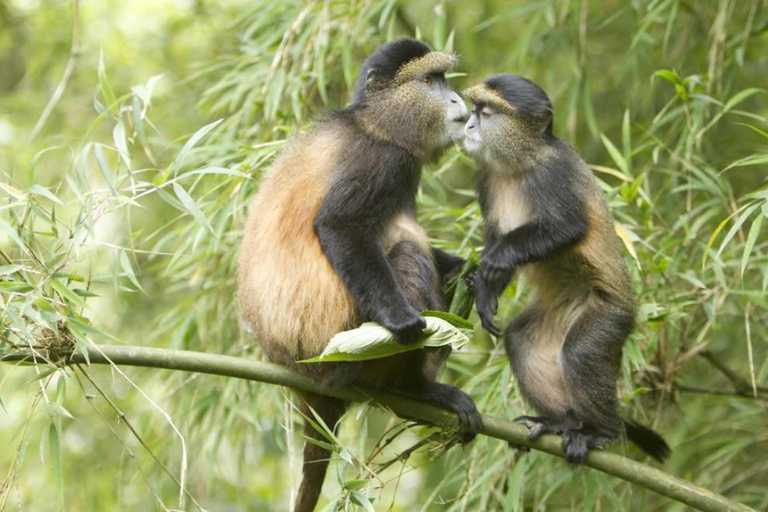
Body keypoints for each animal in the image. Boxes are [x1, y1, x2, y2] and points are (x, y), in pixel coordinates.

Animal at [238, 41, 480, 512]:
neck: (375, 123)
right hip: (344, 353)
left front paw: (470, 272)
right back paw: (415, 388)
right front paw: (404, 322)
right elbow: (340, 226)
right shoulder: (382, 159)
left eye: (444, 80)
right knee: (407, 253)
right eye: (430, 81)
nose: (457, 101)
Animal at [460, 75, 668, 464]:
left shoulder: (553, 173)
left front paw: (495, 262)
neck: (519, 162)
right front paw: (484, 290)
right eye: (475, 108)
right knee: (520, 339)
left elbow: (568, 227)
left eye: (487, 112)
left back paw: (602, 431)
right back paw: (562, 422)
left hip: (607, 316)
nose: (467, 125)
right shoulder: (485, 178)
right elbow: (495, 238)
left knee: (580, 353)